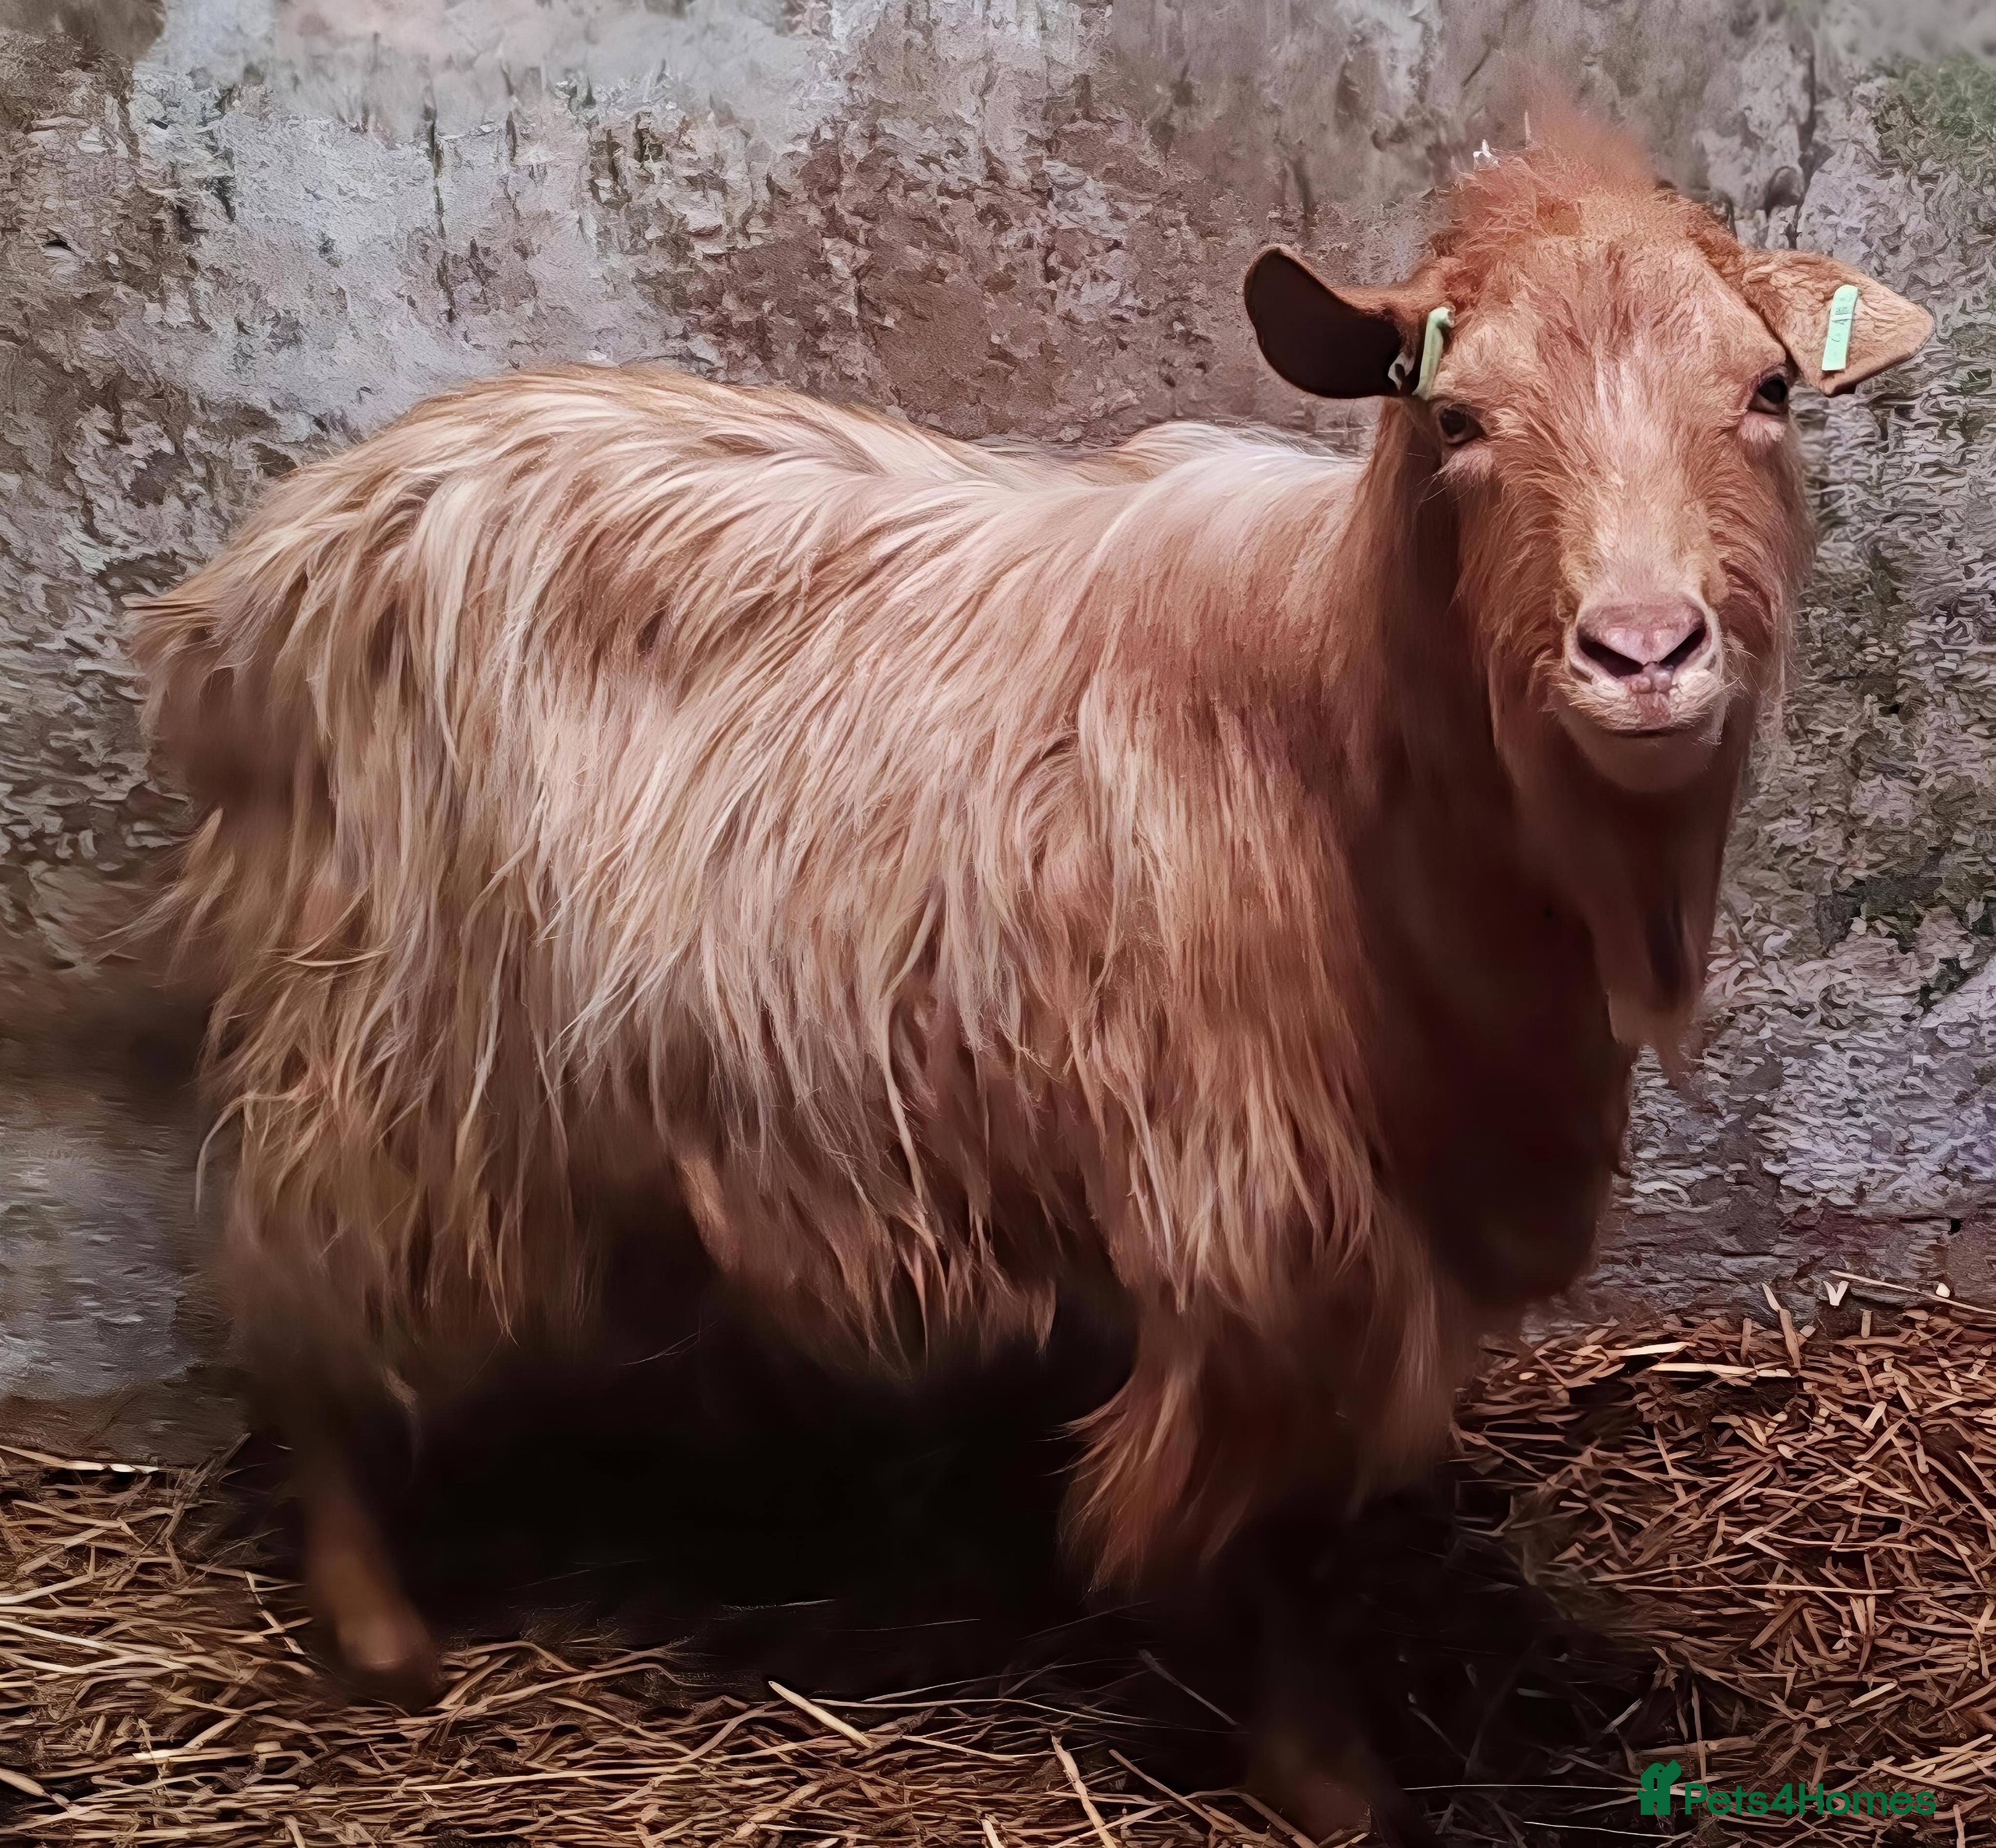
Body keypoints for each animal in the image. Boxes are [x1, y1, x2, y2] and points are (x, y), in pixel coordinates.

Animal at [133, 117, 1929, 1833]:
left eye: (1768, 391)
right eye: (1457, 419)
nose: (1644, 653)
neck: (1342, 717)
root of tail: (251, 576)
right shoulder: (1243, 1207)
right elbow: (1233, 1523)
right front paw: (1322, 1770)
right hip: (374, 1020)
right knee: (298, 1288)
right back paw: (378, 1625)